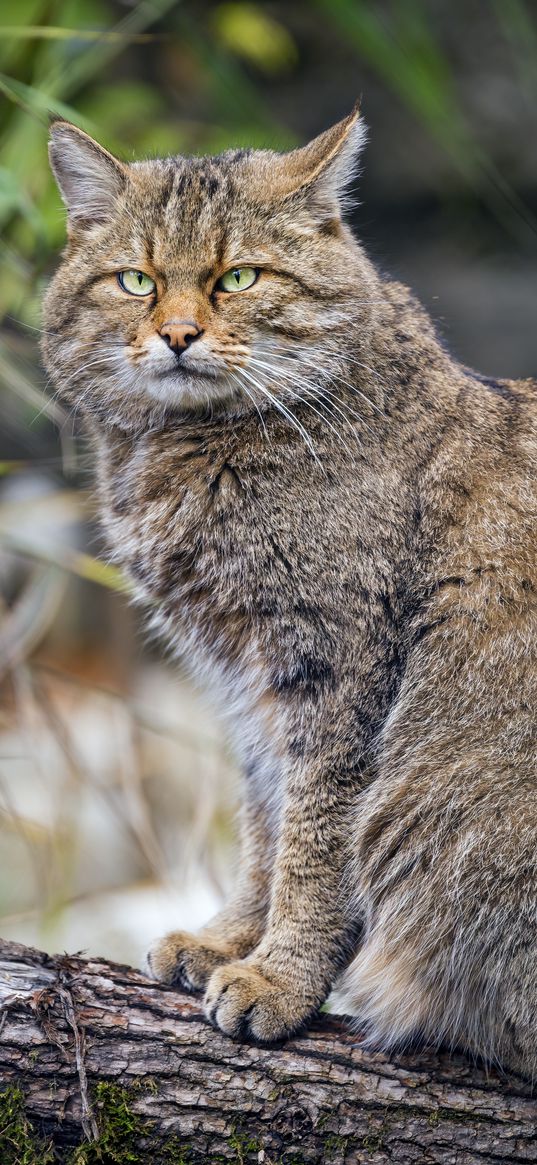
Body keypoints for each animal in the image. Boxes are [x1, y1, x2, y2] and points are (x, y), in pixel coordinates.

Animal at [42, 109, 535, 1071]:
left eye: (238, 277)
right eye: (135, 279)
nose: (179, 334)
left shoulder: (335, 666)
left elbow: (315, 838)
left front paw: (280, 973)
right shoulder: (248, 678)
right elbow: (267, 820)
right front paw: (231, 939)